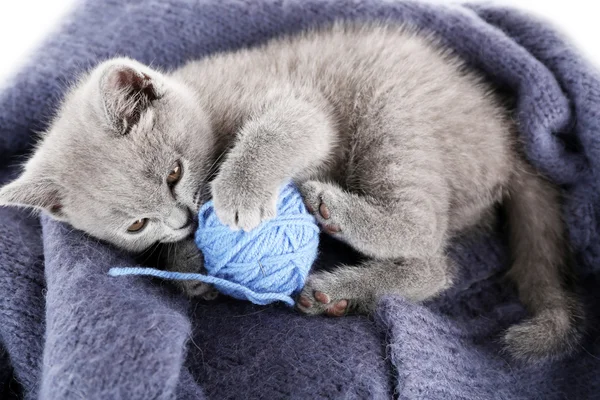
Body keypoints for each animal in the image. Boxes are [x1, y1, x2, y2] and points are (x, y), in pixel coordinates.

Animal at [0, 21, 580, 360]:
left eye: (173, 173)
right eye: (137, 224)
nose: (183, 218)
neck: (206, 101)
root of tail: (509, 141)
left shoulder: (297, 103)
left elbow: (284, 129)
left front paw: (237, 192)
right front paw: (190, 265)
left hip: (392, 110)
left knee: (430, 247)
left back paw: (335, 221)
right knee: (435, 262)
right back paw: (336, 294)